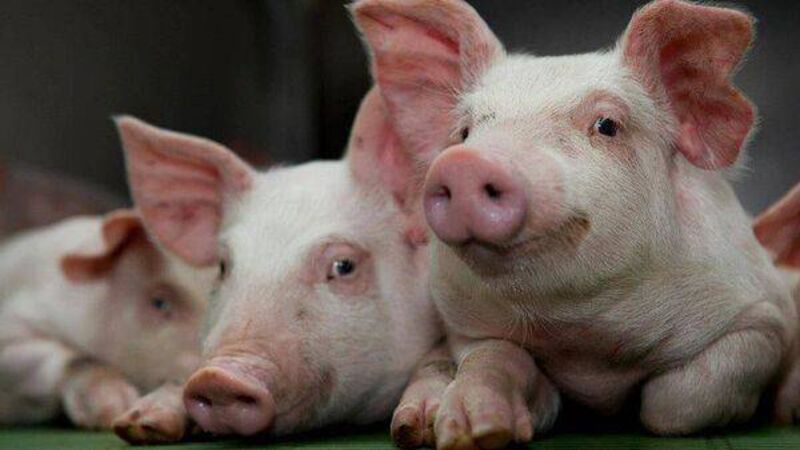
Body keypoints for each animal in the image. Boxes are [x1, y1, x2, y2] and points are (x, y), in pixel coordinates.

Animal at [352, 0, 797, 448]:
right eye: (464, 131)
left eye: (607, 125)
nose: (466, 163)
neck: (584, 342)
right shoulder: (468, 326)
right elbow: (490, 358)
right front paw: (475, 431)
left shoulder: (760, 317)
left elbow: (674, 403)